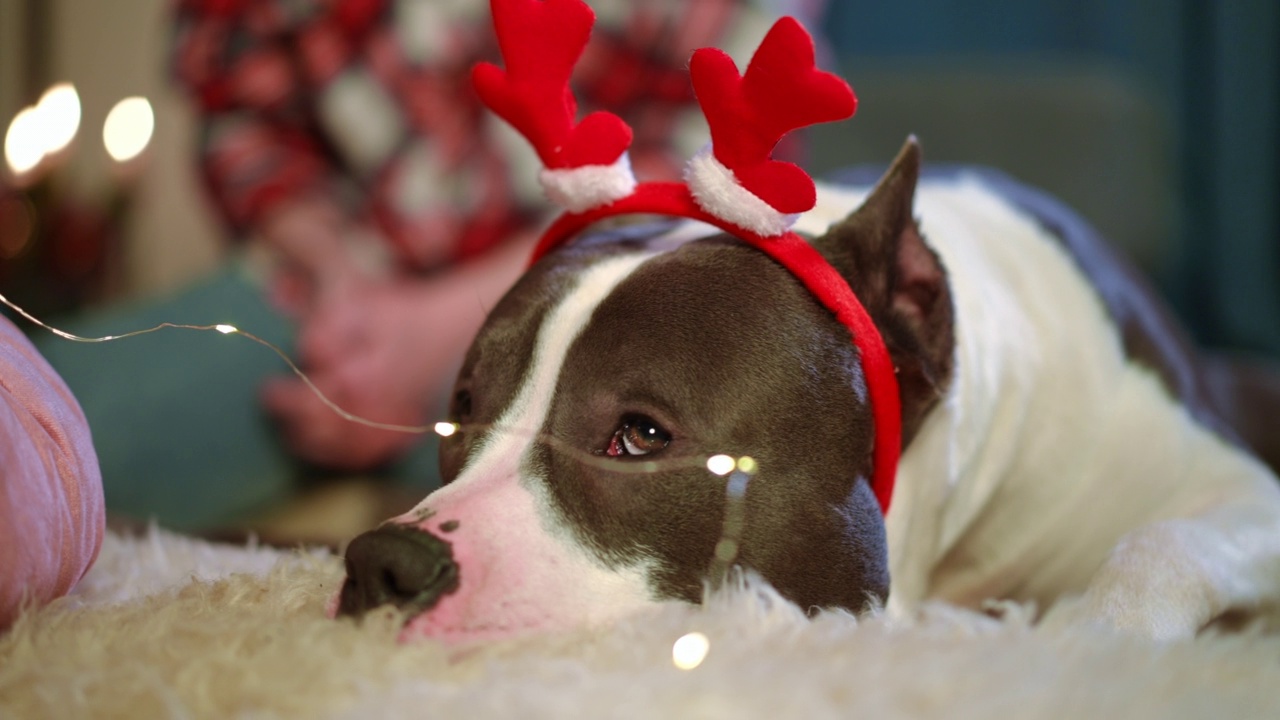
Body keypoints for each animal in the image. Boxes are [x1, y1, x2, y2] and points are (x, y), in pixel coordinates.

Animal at [335, 133, 1280, 638]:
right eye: (460, 416)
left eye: (640, 435)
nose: (382, 563)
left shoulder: (1235, 491)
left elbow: (1159, 542)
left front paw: (1087, 639)